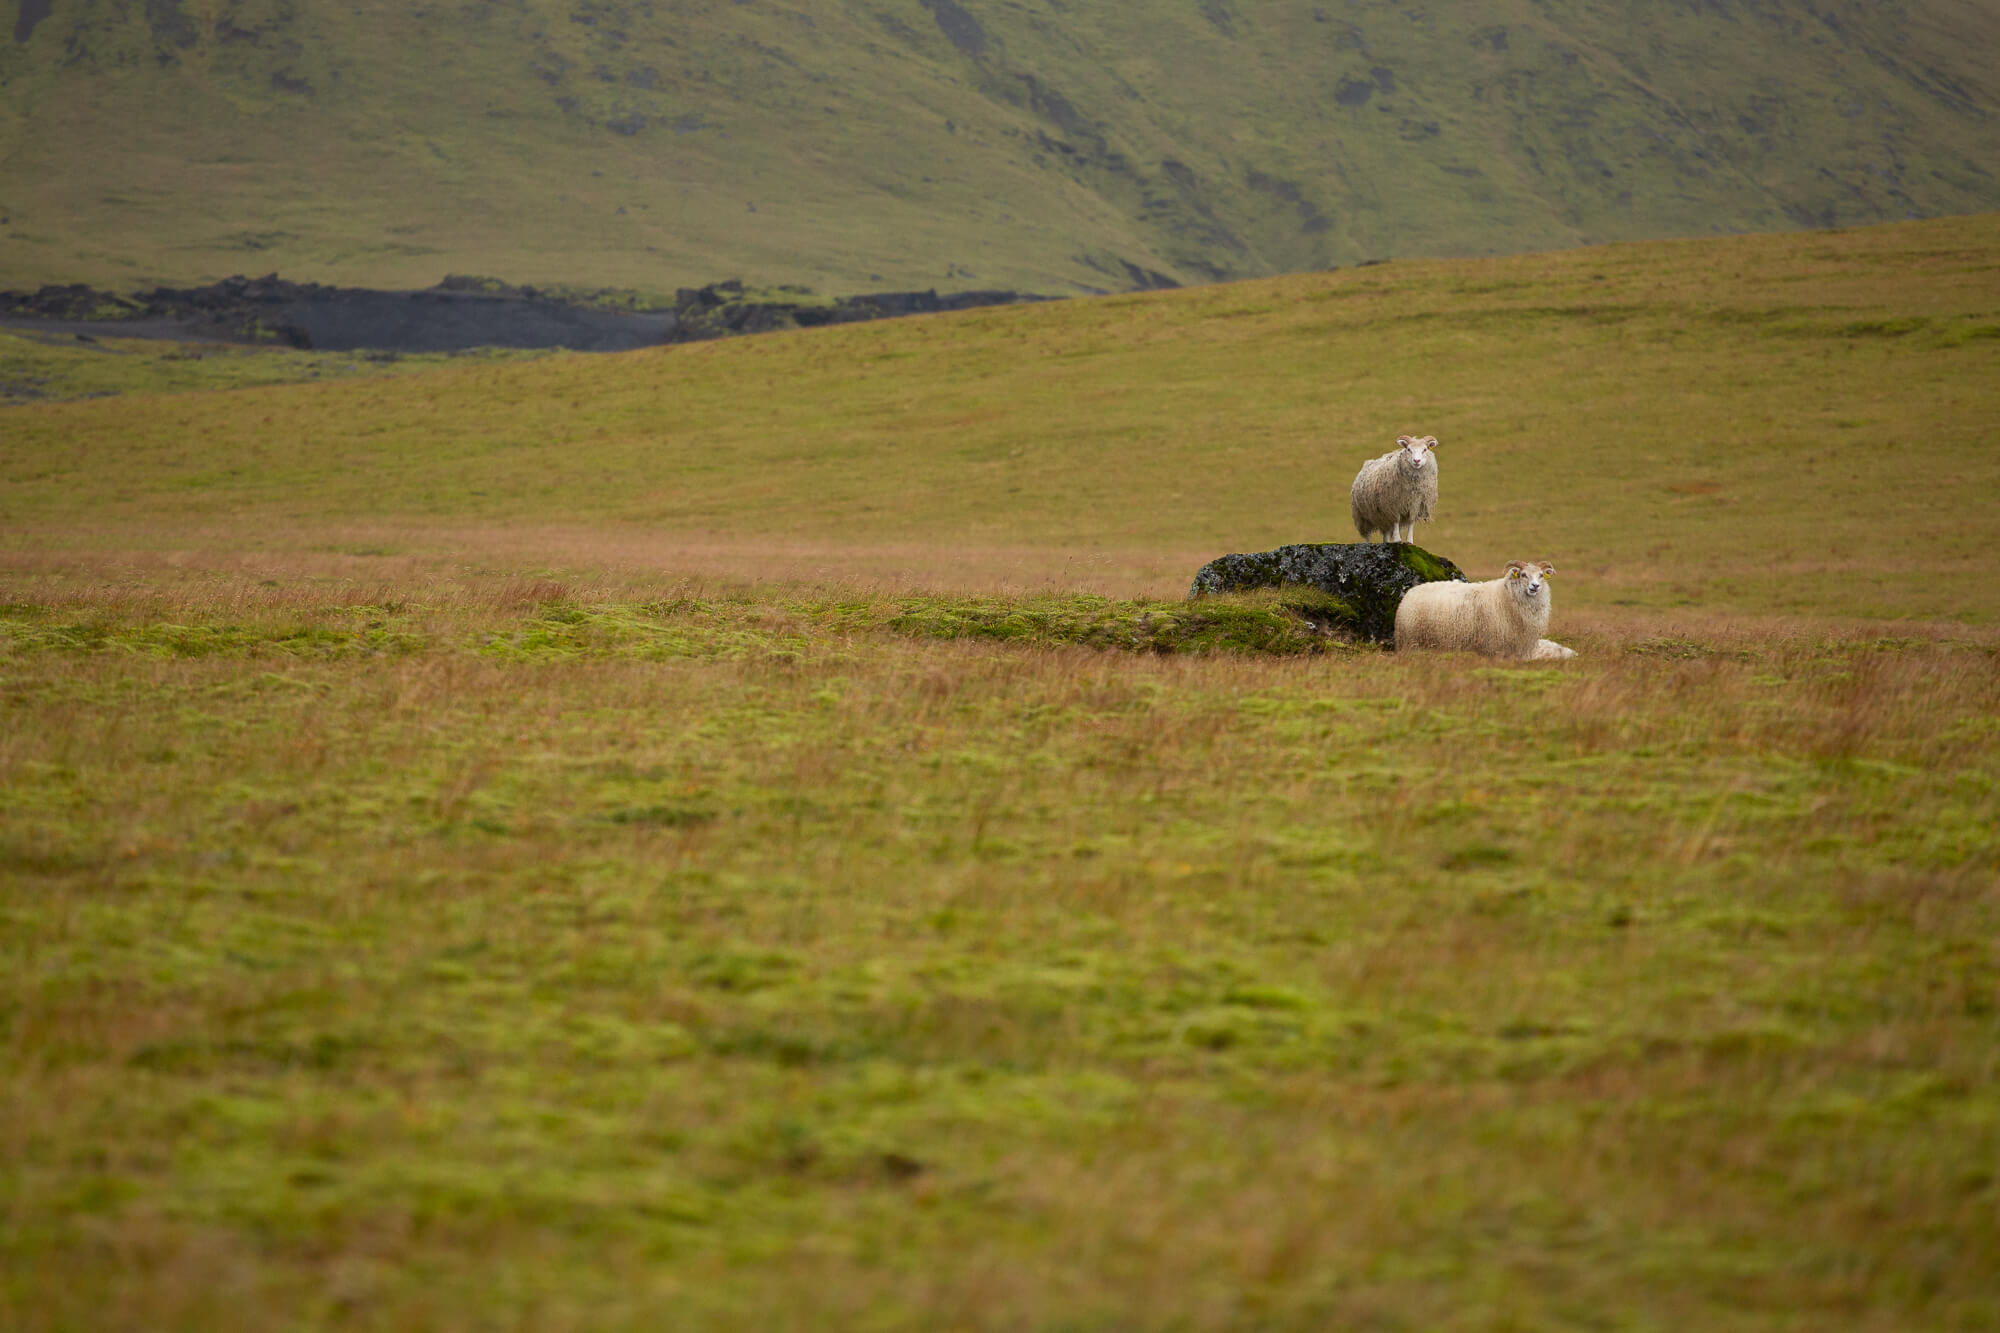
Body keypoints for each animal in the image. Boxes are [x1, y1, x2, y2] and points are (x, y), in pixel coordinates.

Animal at [1392, 560, 1560, 660]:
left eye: (1541, 575)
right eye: (1523, 575)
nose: (1535, 586)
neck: (1505, 595)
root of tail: (1409, 594)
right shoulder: (1494, 646)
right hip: (1411, 642)